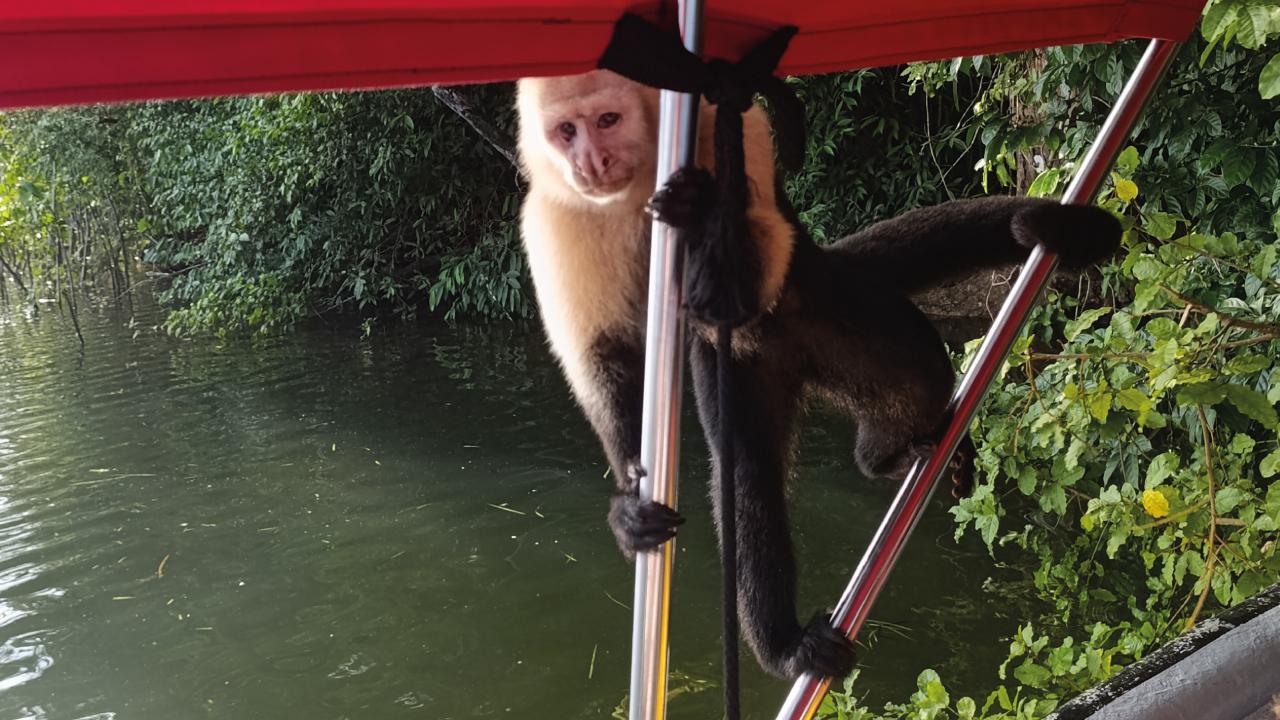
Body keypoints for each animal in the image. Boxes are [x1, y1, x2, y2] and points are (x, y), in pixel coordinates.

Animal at [515, 69, 1121, 680]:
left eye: (606, 120)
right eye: (566, 131)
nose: (589, 161)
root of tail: (826, 263)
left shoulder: (720, 127)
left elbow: (750, 255)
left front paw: (700, 205)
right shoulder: (557, 211)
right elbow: (601, 353)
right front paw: (630, 498)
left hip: (843, 313)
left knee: (916, 375)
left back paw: (886, 456)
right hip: (736, 364)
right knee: (747, 467)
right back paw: (786, 641)